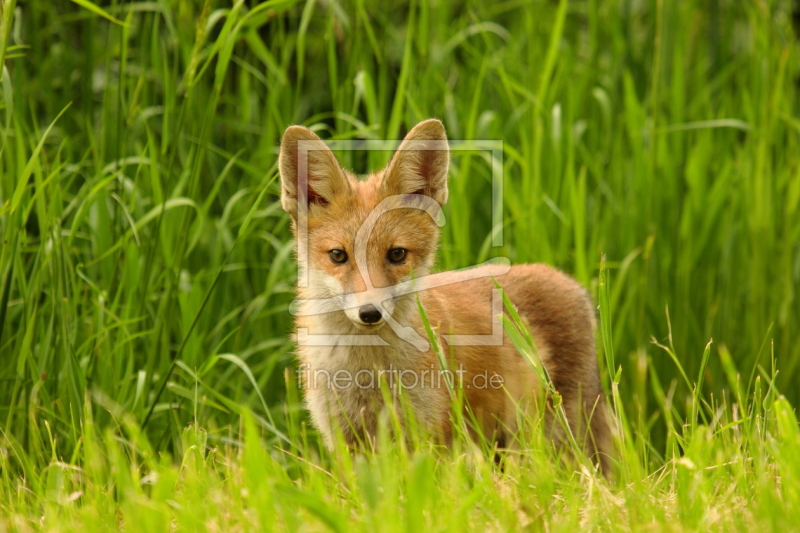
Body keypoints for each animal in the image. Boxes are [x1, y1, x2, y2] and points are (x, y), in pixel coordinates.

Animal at [280, 118, 612, 476]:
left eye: (397, 254)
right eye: (338, 255)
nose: (370, 313)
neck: (368, 371)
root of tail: (567, 279)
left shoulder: (428, 437)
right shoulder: (345, 441)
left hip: (557, 439)